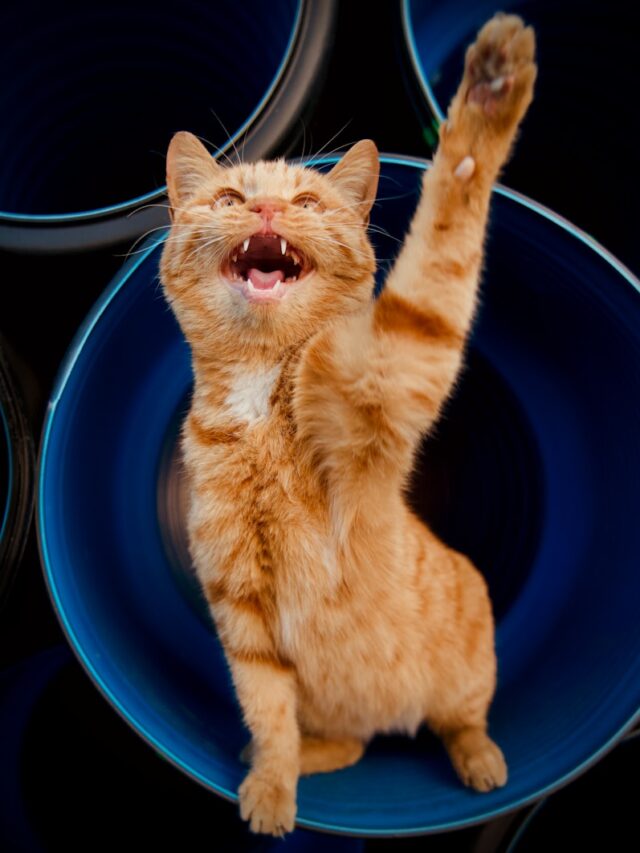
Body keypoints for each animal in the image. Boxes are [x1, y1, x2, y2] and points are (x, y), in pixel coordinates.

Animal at [159, 13, 536, 836]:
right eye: (231, 196)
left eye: (305, 202)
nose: (266, 212)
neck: (259, 400)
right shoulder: (243, 617)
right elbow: (268, 714)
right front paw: (273, 787)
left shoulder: (393, 366)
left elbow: (444, 231)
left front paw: (489, 98)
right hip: (343, 709)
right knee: (349, 741)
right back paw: (309, 754)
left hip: (467, 658)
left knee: (462, 720)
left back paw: (482, 761)